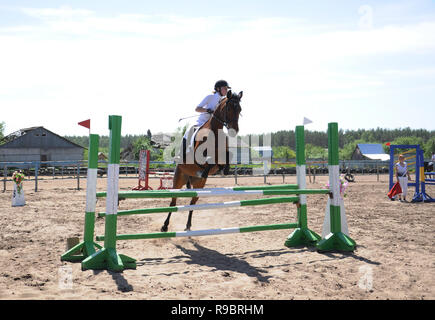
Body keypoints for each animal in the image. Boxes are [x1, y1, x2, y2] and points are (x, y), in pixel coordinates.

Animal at [161, 90, 244, 232]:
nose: (234, 130)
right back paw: (165, 226)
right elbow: (209, 160)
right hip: (178, 179)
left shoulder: (223, 154)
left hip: (199, 186)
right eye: (229, 108)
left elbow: (228, 156)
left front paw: (225, 169)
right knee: (173, 202)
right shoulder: (199, 156)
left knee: (192, 202)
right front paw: (206, 170)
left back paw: (188, 225)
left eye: (239, 109)